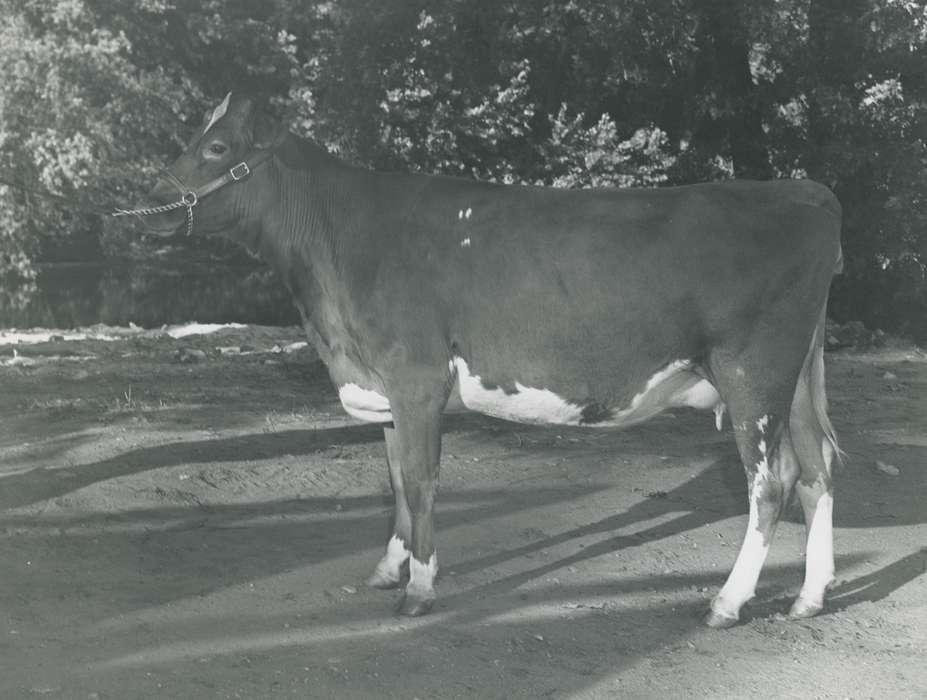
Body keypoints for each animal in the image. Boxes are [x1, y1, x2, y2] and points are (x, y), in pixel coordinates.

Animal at [131, 92, 843, 627]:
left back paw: (727, 602)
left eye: (217, 148)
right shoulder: (386, 387)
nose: (147, 196)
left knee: (769, 483)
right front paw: (390, 569)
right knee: (815, 468)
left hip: (752, 374)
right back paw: (809, 597)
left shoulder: (416, 377)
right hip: (794, 381)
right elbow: (396, 481)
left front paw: (420, 589)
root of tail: (804, 191)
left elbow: (421, 482)